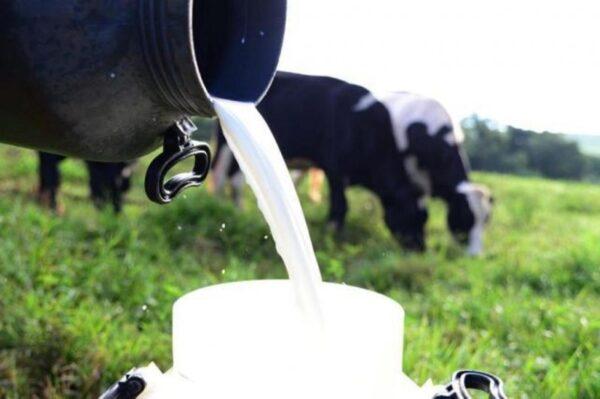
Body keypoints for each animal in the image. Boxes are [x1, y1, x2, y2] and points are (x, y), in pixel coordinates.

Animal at [211, 72, 492, 255]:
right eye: (465, 219)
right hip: (227, 142)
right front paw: (332, 236)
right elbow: (340, 207)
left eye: (486, 221)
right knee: (224, 176)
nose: (420, 250)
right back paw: (221, 207)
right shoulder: (334, 170)